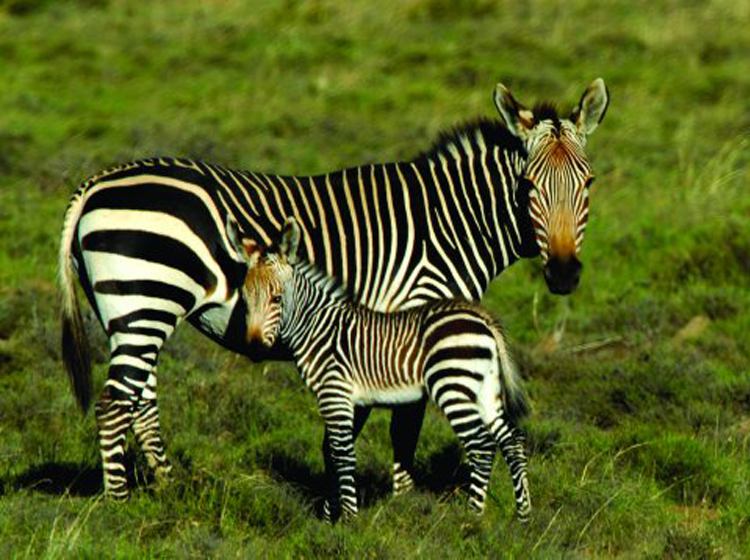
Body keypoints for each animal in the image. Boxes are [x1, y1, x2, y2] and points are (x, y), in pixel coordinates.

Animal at [228, 215, 531, 521]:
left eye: (277, 299)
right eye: (244, 299)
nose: (254, 348)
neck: (318, 326)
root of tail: (483, 320)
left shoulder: (334, 393)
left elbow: (341, 454)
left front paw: (348, 519)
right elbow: (333, 453)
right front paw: (329, 517)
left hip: (453, 386)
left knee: (481, 446)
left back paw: (472, 517)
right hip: (484, 389)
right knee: (511, 441)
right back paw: (522, 516)